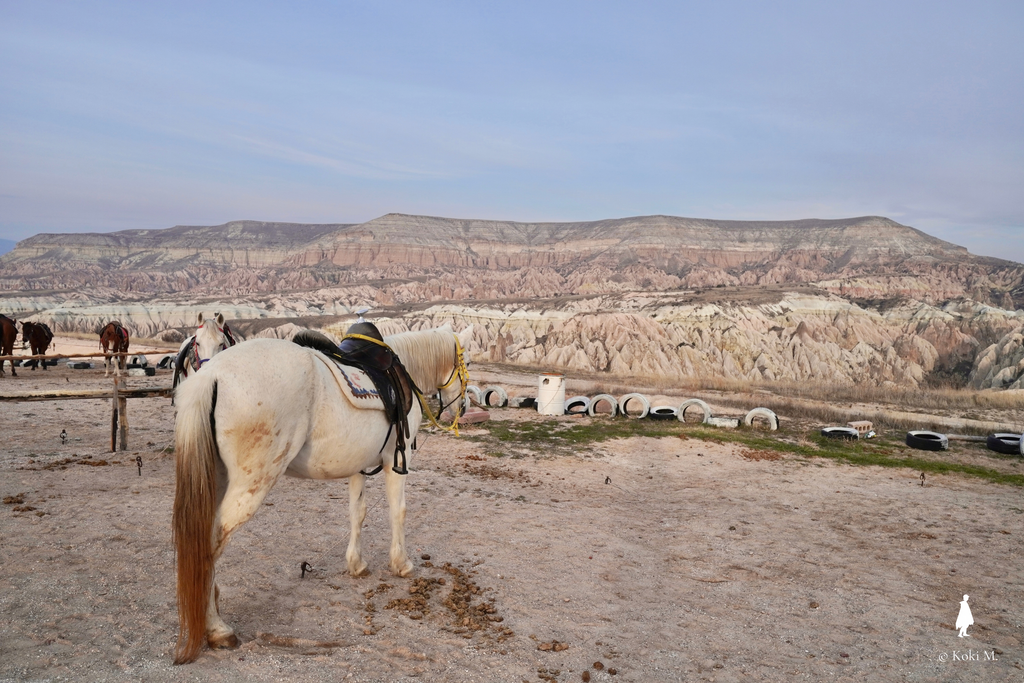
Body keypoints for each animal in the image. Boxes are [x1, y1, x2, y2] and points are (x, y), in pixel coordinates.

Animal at [171, 325, 469, 664]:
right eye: (465, 361)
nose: (463, 407)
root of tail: (213, 374)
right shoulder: (398, 459)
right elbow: (399, 511)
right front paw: (401, 564)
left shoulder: (358, 465)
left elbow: (357, 512)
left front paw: (357, 564)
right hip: (251, 484)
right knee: (209, 543)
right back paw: (217, 628)